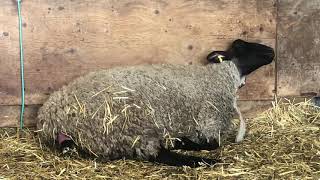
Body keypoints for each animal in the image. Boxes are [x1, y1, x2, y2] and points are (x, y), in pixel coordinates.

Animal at [36, 38, 274, 167]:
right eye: (241, 45)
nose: (272, 51)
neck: (221, 77)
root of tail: (52, 116)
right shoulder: (209, 121)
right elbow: (212, 144)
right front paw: (186, 143)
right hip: (128, 129)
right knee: (157, 154)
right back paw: (198, 159)